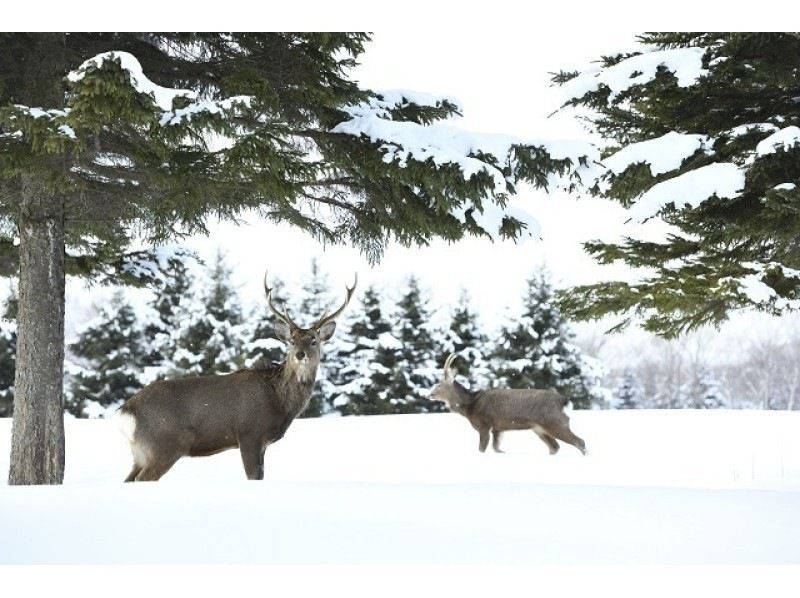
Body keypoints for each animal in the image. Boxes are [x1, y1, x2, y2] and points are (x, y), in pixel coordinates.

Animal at [115, 272, 356, 482]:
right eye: (292, 340)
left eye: (313, 340)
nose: (299, 354)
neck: (279, 401)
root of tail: (125, 412)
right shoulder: (249, 433)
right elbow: (253, 477)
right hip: (165, 444)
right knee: (143, 479)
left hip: (140, 452)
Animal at [432, 354, 588, 458]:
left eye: (439, 384)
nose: (430, 394)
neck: (470, 404)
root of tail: (563, 400)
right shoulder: (498, 429)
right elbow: (497, 449)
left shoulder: (485, 425)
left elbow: (482, 449)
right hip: (539, 428)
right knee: (555, 447)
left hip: (554, 422)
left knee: (580, 442)